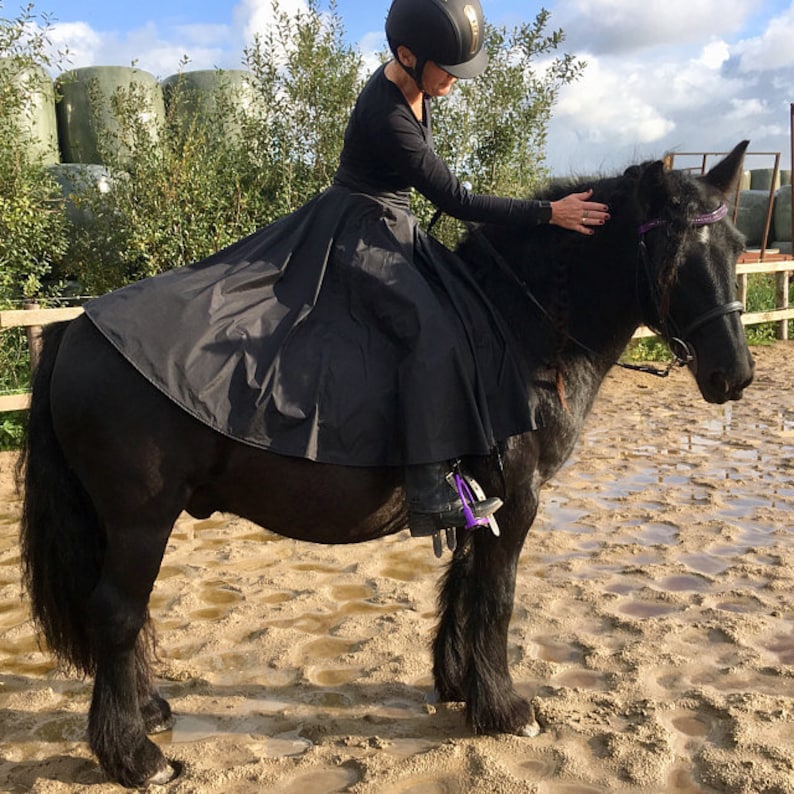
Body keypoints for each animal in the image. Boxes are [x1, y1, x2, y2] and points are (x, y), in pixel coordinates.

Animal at [18, 141, 754, 787]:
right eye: (675, 253)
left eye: (738, 247)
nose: (735, 376)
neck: (517, 330)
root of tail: (78, 327)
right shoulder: (517, 498)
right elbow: (498, 599)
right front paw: (505, 709)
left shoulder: (482, 500)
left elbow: (465, 587)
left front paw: (460, 685)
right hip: (141, 521)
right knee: (116, 612)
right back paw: (135, 757)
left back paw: (145, 712)